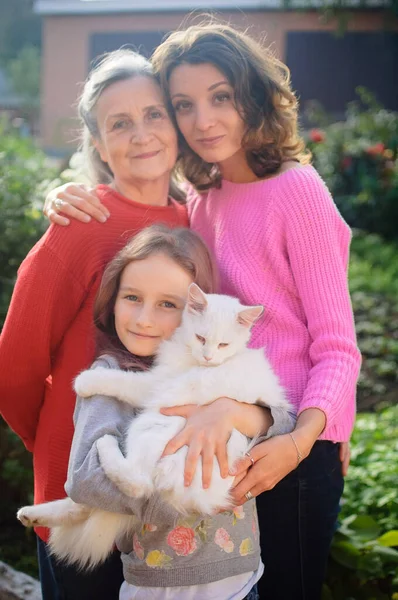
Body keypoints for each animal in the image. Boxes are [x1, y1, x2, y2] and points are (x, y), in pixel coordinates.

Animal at [17, 284, 294, 568]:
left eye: (223, 345)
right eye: (201, 338)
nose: (208, 357)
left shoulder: (156, 384)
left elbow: (121, 380)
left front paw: (84, 380)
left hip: (151, 424)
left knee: (136, 483)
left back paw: (105, 447)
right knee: (86, 504)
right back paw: (31, 515)